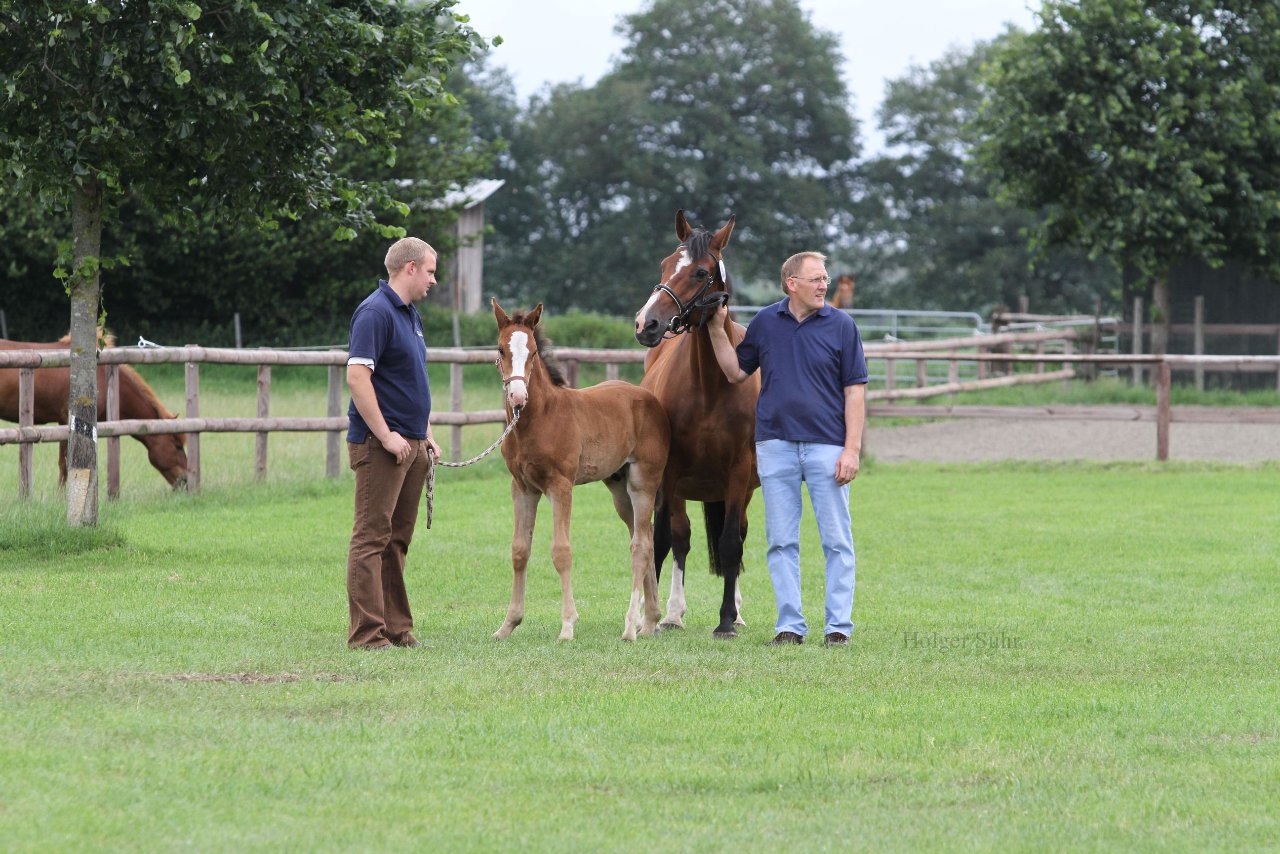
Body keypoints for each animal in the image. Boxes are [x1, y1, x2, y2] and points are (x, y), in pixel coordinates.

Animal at [488, 300, 670, 640]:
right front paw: (508, 625)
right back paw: (650, 620)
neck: (539, 418)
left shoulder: (560, 485)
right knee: (647, 537)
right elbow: (519, 551)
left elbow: (561, 551)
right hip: (618, 489)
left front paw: (568, 625)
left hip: (643, 482)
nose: (517, 397)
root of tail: (651, 400)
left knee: (640, 546)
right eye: (501, 350)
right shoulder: (522, 487)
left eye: (533, 351)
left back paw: (631, 626)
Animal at [632, 209, 757, 637]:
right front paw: (654, 615)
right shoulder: (670, 473)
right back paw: (669, 612)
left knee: (738, 534)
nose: (647, 323)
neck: (709, 386)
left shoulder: (739, 471)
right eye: (666, 264)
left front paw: (726, 620)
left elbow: (731, 542)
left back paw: (736, 612)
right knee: (676, 537)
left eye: (701, 272)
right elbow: (669, 538)